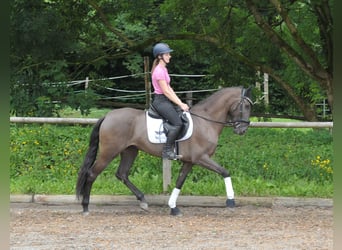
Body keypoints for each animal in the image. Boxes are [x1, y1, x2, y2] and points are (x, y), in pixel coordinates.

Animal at [76, 85, 252, 215]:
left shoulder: (189, 161)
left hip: (130, 151)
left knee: (122, 174)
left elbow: (180, 182)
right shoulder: (201, 158)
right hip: (109, 152)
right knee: (91, 174)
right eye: (245, 105)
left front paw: (173, 207)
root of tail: (108, 116)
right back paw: (85, 207)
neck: (206, 121)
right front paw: (231, 201)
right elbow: (225, 172)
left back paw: (143, 201)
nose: (242, 130)